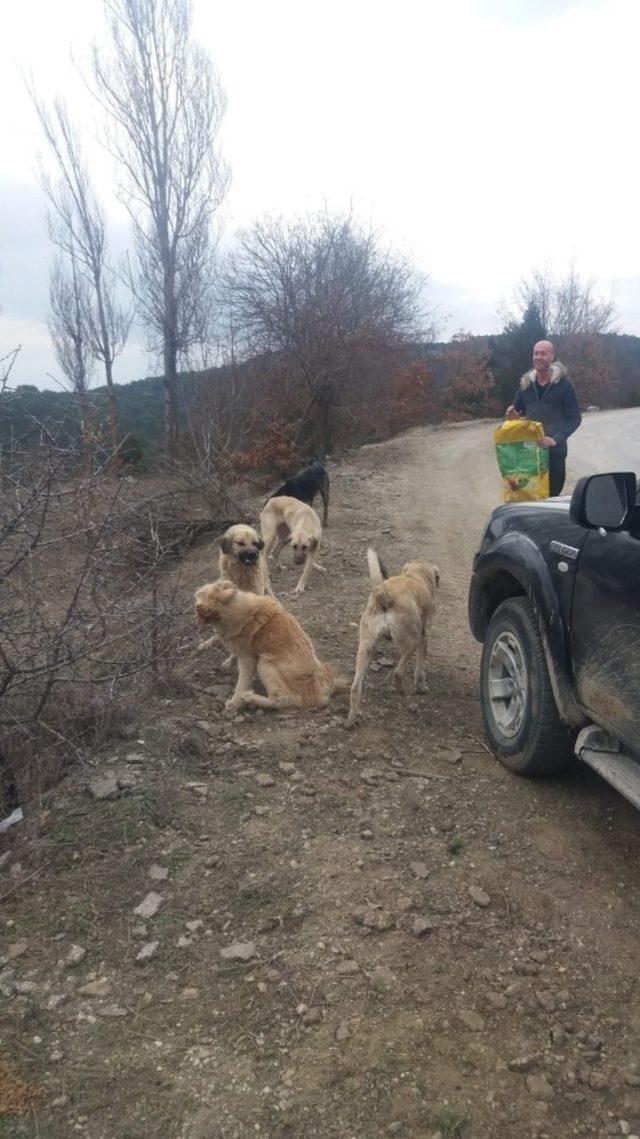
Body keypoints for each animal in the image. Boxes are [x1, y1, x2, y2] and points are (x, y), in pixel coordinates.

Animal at [194, 578, 343, 710]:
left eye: (204, 594)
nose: (196, 594)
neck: (233, 608)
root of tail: (317, 694)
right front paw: (227, 662)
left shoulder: (247, 659)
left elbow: (241, 683)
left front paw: (234, 702)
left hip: (265, 662)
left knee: (287, 699)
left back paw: (251, 699)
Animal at [343, 548, 437, 724]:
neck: (416, 573)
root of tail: (384, 596)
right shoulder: (423, 638)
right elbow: (419, 669)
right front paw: (421, 686)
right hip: (413, 641)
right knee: (397, 672)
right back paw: (401, 690)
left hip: (366, 649)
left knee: (355, 687)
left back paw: (351, 719)